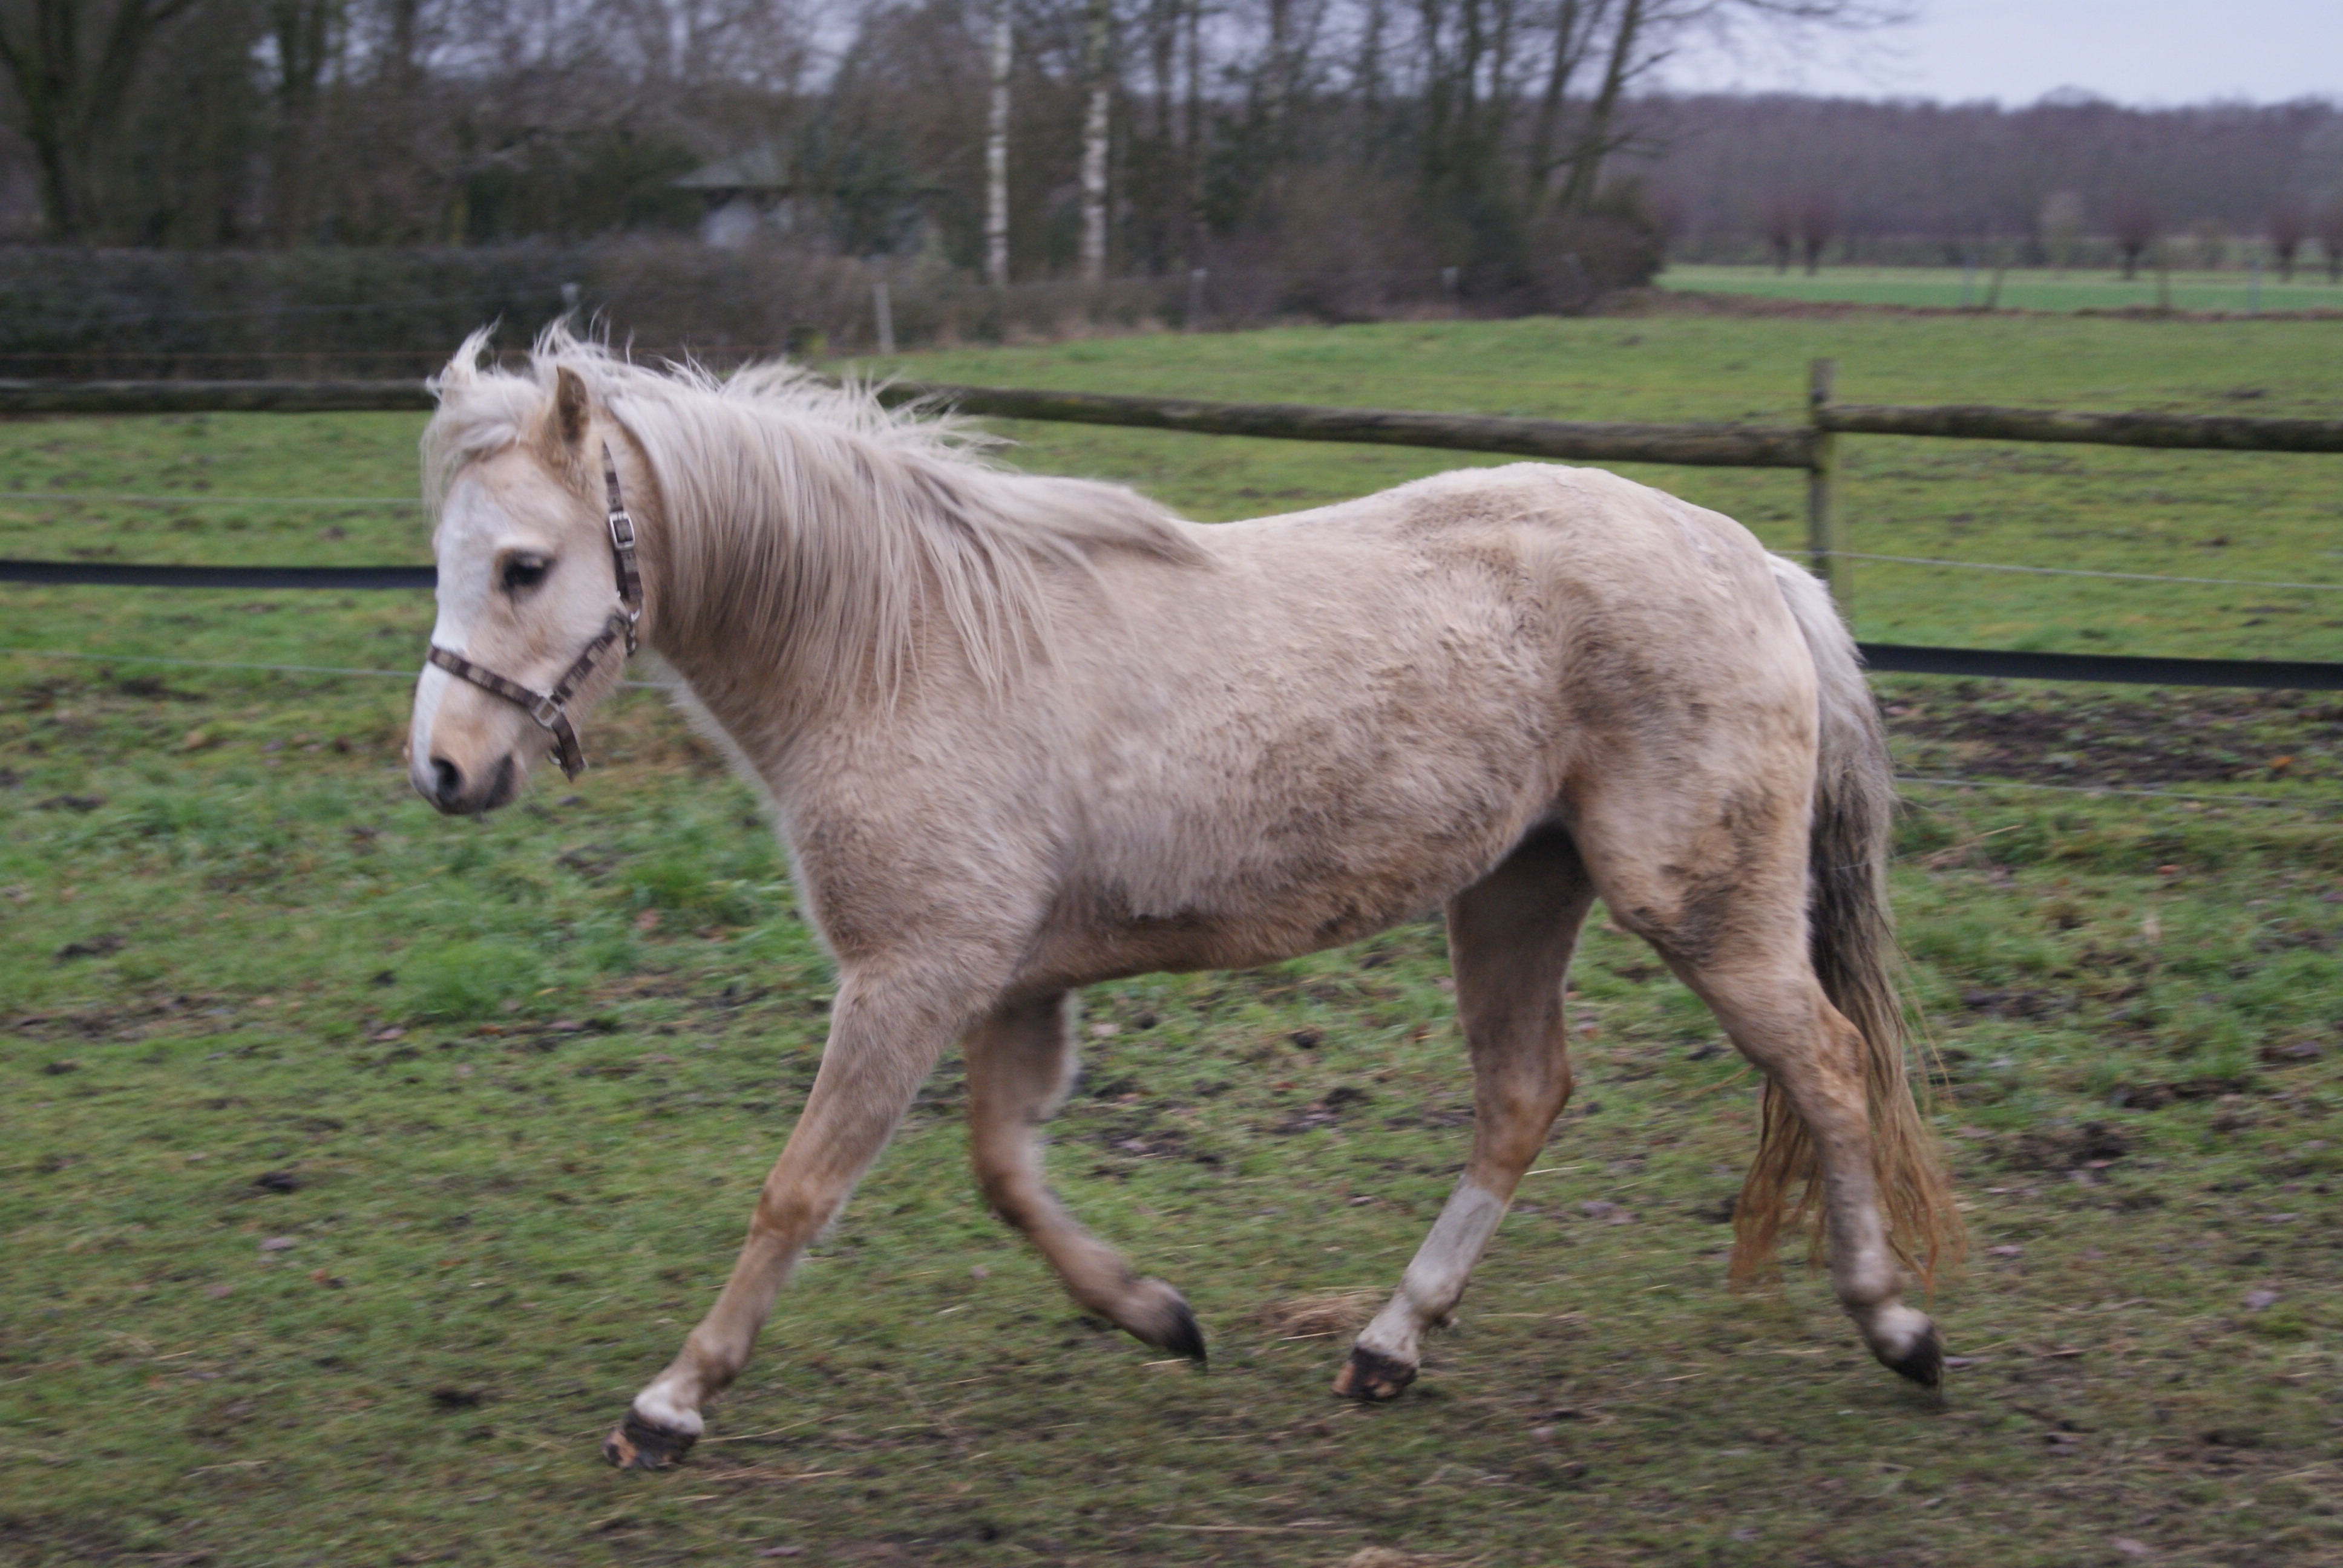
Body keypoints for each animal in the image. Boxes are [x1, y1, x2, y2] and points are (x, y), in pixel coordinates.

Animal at [402, 328, 1958, 1472]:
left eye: (527, 565)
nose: (445, 769)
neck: (898, 649)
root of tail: (1754, 562)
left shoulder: (910, 975)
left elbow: (799, 1190)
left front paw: (669, 1402)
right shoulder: (1008, 983)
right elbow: (1006, 1175)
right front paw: (1155, 1315)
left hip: (1695, 903)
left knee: (1827, 1063)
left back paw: (1897, 1326)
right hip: (1517, 895)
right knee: (1527, 1096)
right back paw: (1388, 1346)